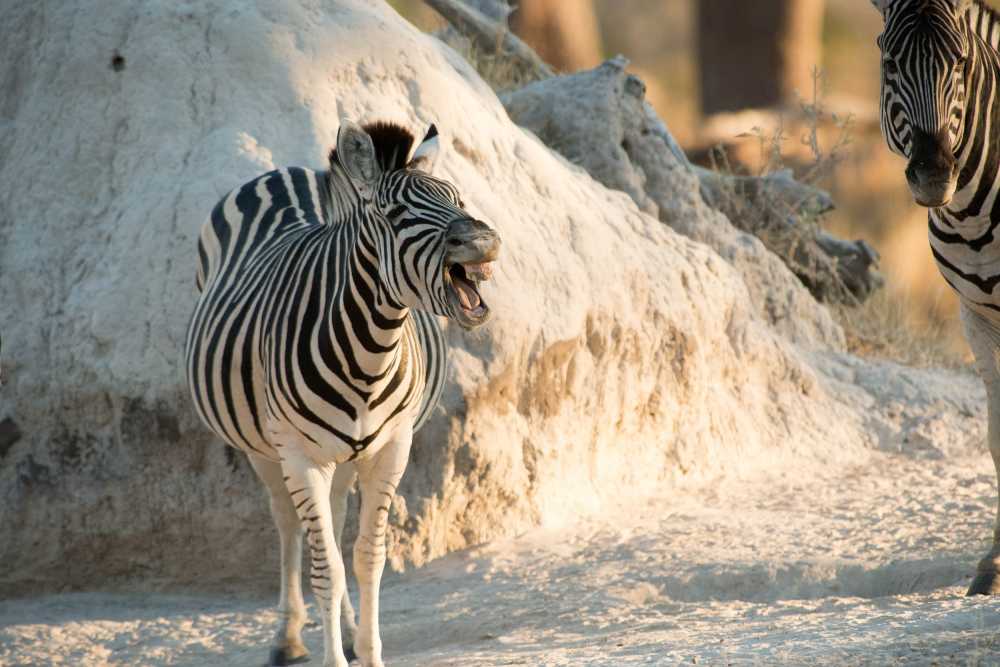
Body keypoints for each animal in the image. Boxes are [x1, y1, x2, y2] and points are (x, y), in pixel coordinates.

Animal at [183, 121, 500, 667]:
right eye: (396, 216)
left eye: (458, 200)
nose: (482, 241)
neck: (370, 352)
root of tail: (283, 172)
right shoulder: (298, 454)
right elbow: (325, 566)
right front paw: (331, 654)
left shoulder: (391, 447)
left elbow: (367, 556)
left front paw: (367, 652)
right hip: (263, 446)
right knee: (290, 525)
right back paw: (287, 638)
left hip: (345, 456)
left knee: (331, 519)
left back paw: (348, 632)